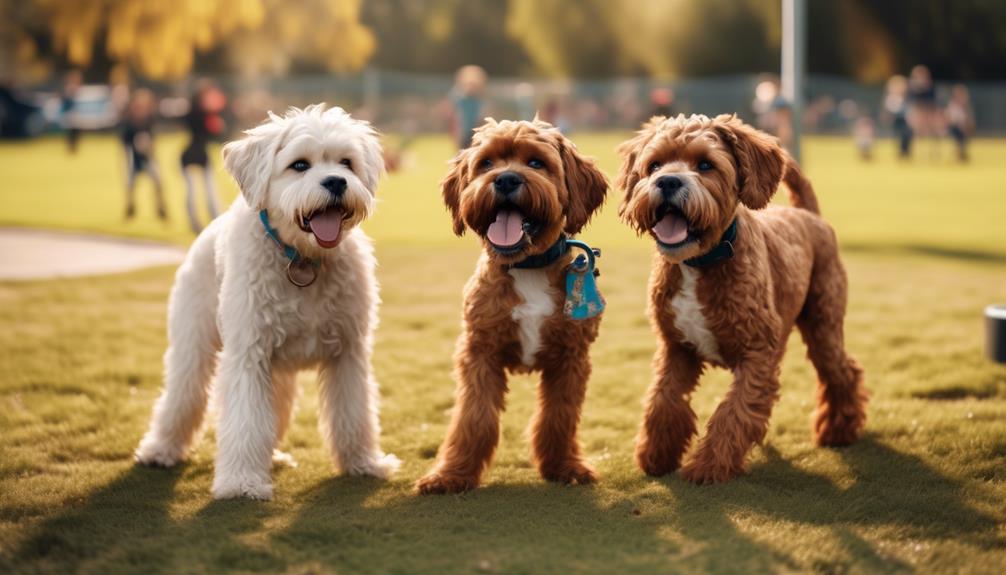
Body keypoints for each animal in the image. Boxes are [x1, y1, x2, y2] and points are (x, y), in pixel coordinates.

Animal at [134, 105, 400, 500]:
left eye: (346, 163)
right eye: (300, 165)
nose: (337, 182)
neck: (302, 260)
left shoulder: (349, 354)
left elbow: (354, 415)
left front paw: (364, 462)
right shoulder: (248, 355)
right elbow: (245, 422)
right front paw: (242, 482)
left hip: (278, 373)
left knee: (273, 413)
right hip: (193, 349)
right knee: (183, 399)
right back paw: (160, 450)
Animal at [414, 118, 607, 494]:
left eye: (536, 162)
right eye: (486, 163)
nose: (505, 179)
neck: (526, 266)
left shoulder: (572, 358)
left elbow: (559, 416)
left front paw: (564, 466)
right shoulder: (480, 353)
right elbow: (473, 418)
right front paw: (452, 475)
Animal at [615, 114, 869, 482]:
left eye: (706, 164)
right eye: (655, 165)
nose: (667, 181)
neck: (699, 263)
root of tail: (808, 214)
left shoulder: (757, 354)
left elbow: (732, 413)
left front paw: (707, 467)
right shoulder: (676, 348)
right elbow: (663, 401)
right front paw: (656, 456)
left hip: (823, 326)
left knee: (843, 372)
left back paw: (840, 430)